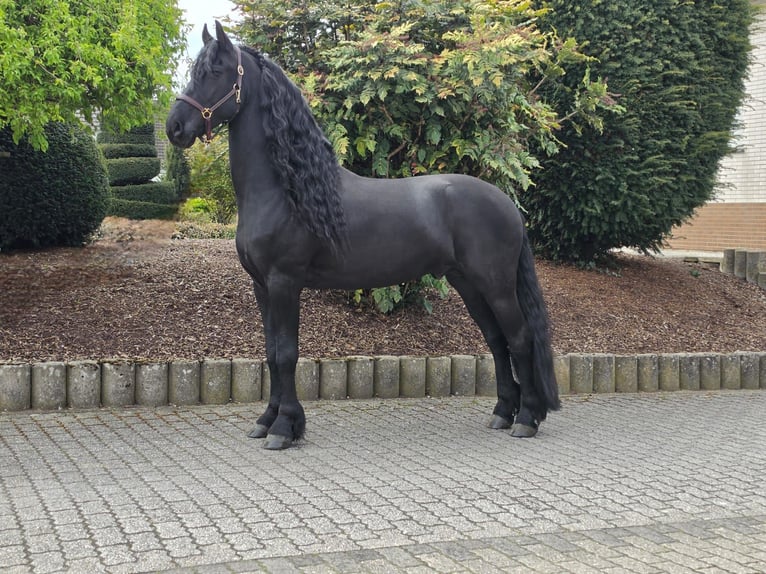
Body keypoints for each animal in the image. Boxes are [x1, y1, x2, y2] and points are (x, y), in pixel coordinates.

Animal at [166, 22, 560, 450]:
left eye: (215, 72)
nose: (174, 127)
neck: (287, 190)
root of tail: (507, 203)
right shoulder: (262, 285)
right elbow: (270, 352)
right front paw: (267, 420)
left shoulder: (284, 281)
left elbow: (286, 353)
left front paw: (284, 428)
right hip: (469, 285)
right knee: (496, 341)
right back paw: (504, 413)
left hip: (496, 285)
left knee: (519, 339)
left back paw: (526, 418)